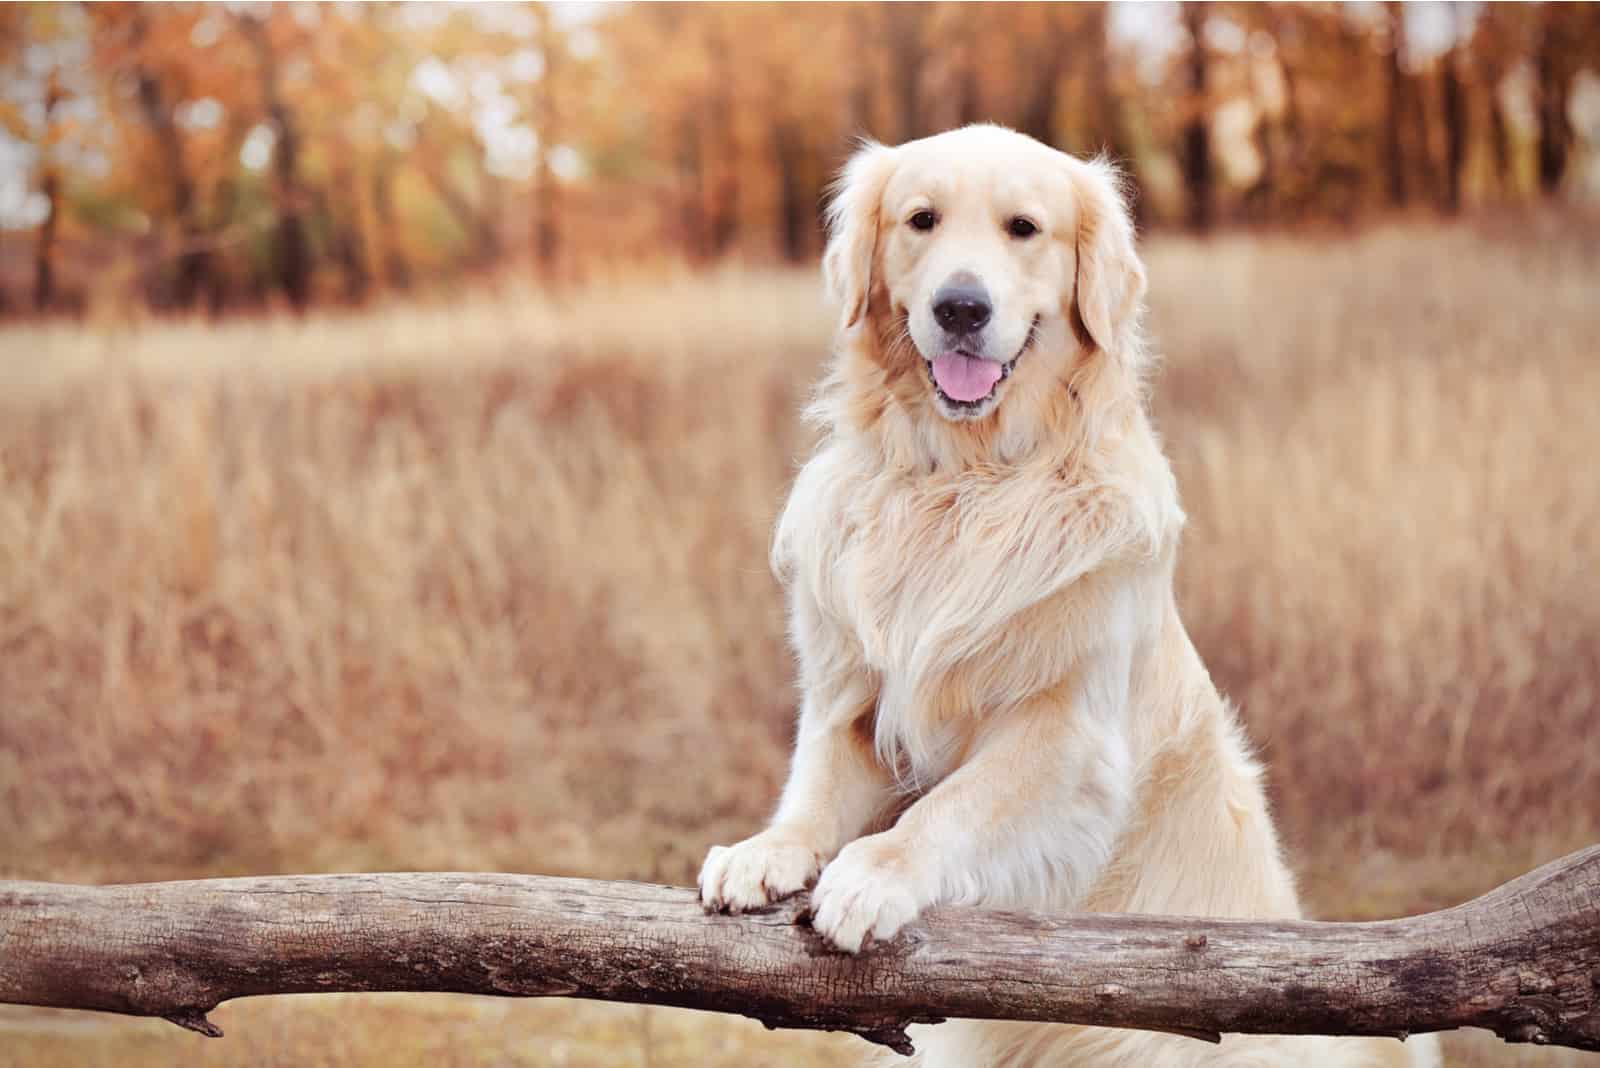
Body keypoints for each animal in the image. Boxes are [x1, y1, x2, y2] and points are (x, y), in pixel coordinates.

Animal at [700, 127, 1440, 1068]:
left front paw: (871, 874)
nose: (961, 307)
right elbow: (814, 782)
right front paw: (763, 851)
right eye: (921, 220)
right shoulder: (854, 701)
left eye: (1023, 228)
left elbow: (949, 805)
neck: (966, 480)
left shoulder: (1066, 736)